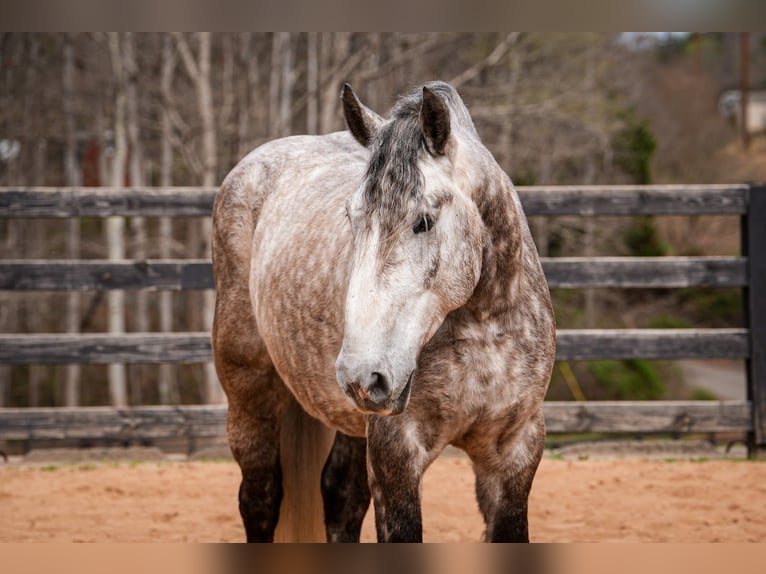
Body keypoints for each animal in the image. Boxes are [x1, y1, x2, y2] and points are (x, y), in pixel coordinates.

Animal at [211, 81, 556, 543]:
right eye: (351, 218)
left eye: (424, 221)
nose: (363, 374)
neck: (482, 331)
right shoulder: (396, 453)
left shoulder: (515, 452)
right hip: (252, 400)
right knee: (260, 500)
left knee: (340, 498)